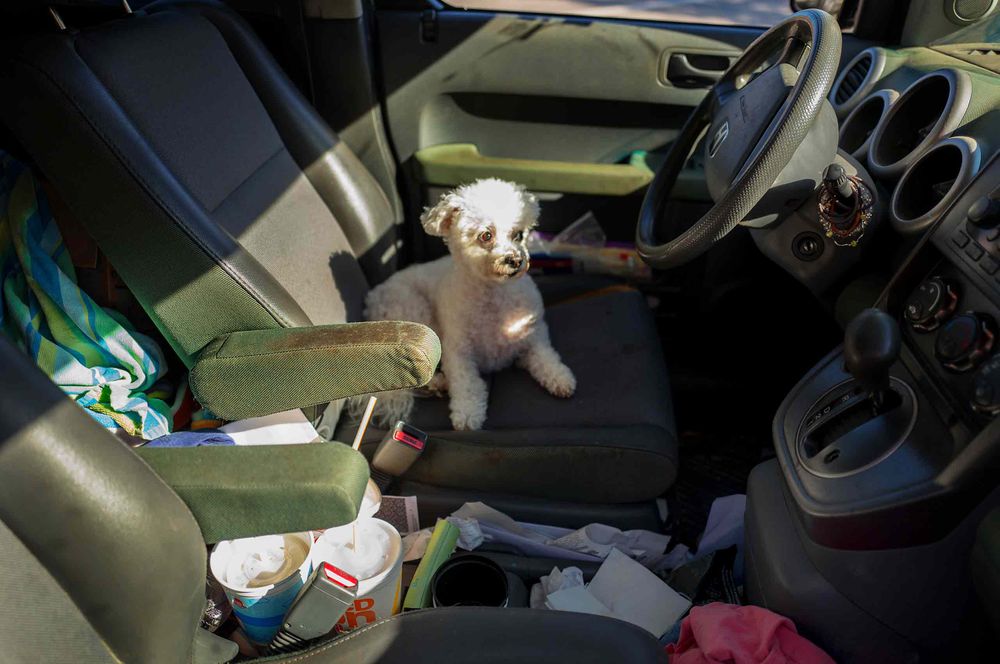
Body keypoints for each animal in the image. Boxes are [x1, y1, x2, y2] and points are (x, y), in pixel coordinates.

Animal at [364, 178, 576, 430]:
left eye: (518, 234)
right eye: (486, 235)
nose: (516, 260)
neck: (494, 295)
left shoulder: (533, 335)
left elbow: (545, 356)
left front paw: (560, 376)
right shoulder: (457, 350)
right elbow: (466, 382)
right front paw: (467, 413)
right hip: (415, 312)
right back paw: (439, 382)